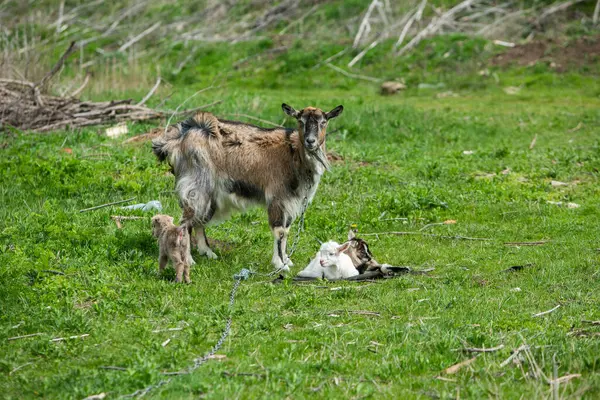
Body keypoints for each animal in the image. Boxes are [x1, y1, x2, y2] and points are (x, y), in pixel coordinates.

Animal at [152, 103, 342, 274]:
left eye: (323, 122)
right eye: (300, 121)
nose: (311, 141)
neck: (293, 154)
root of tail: (181, 135)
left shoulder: (292, 201)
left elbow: (286, 231)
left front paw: (287, 260)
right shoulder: (278, 198)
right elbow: (280, 231)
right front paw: (280, 265)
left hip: (210, 194)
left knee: (198, 221)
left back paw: (208, 252)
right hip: (197, 186)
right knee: (186, 221)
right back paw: (190, 259)